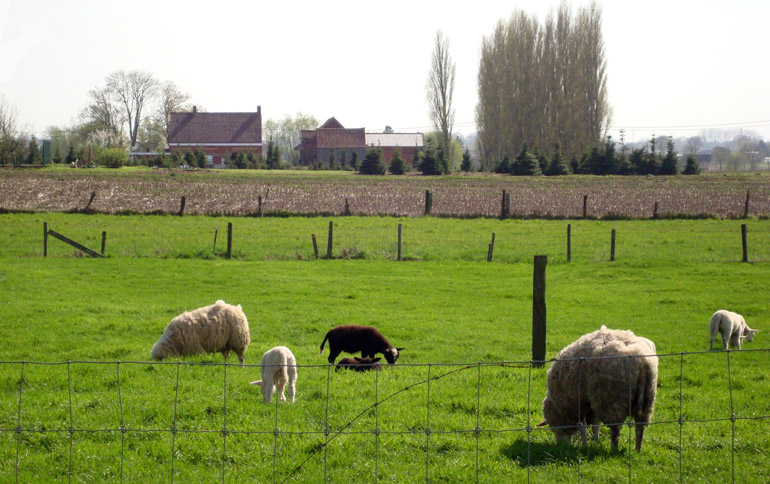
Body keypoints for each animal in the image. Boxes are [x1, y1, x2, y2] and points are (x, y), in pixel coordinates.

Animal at [536, 326, 656, 454]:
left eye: (554, 426)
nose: (561, 446)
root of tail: (642, 361)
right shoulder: (592, 401)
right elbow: (595, 425)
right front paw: (596, 442)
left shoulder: (581, 403)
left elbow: (583, 426)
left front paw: (584, 445)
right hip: (647, 400)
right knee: (639, 429)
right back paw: (637, 450)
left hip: (613, 401)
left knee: (615, 430)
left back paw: (613, 449)